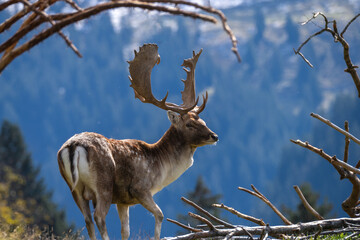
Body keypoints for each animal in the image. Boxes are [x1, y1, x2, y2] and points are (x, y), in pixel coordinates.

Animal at [57, 43, 218, 240]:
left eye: (203, 121)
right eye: (189, 124)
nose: (214, 136)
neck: (160, 166)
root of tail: (73, 147)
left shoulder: (123, 201)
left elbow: (125, 231)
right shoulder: (140, 188)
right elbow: (160, 214)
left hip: (74, 188)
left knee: (87, 219)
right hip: (103, 184)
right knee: (99, 216)